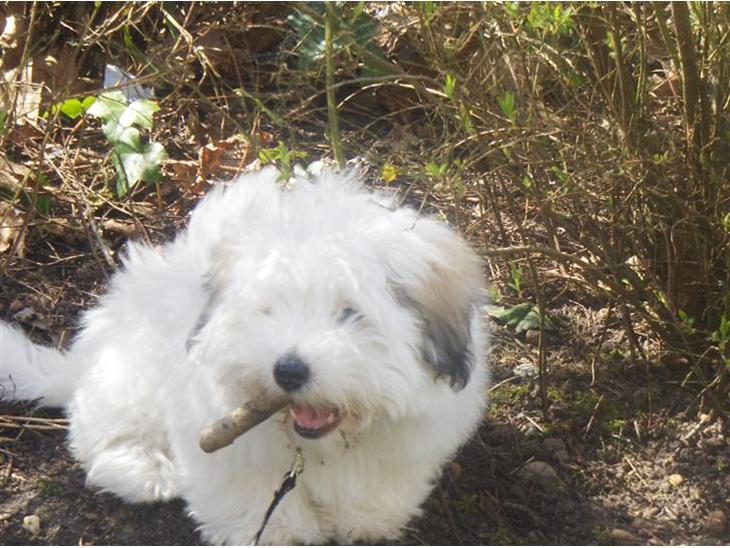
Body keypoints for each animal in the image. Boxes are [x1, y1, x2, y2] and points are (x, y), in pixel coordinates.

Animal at [0, 166, 489, 544]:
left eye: (350, 313)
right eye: (268, 309)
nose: (288, 370)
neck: (314, 445)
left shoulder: (412, 436)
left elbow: (380, 483)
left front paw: (363, 518)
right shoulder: (215, 430)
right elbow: (245, 488)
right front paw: (279, 531)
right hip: (130, 372)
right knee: (103, 431)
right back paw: (144, 468)